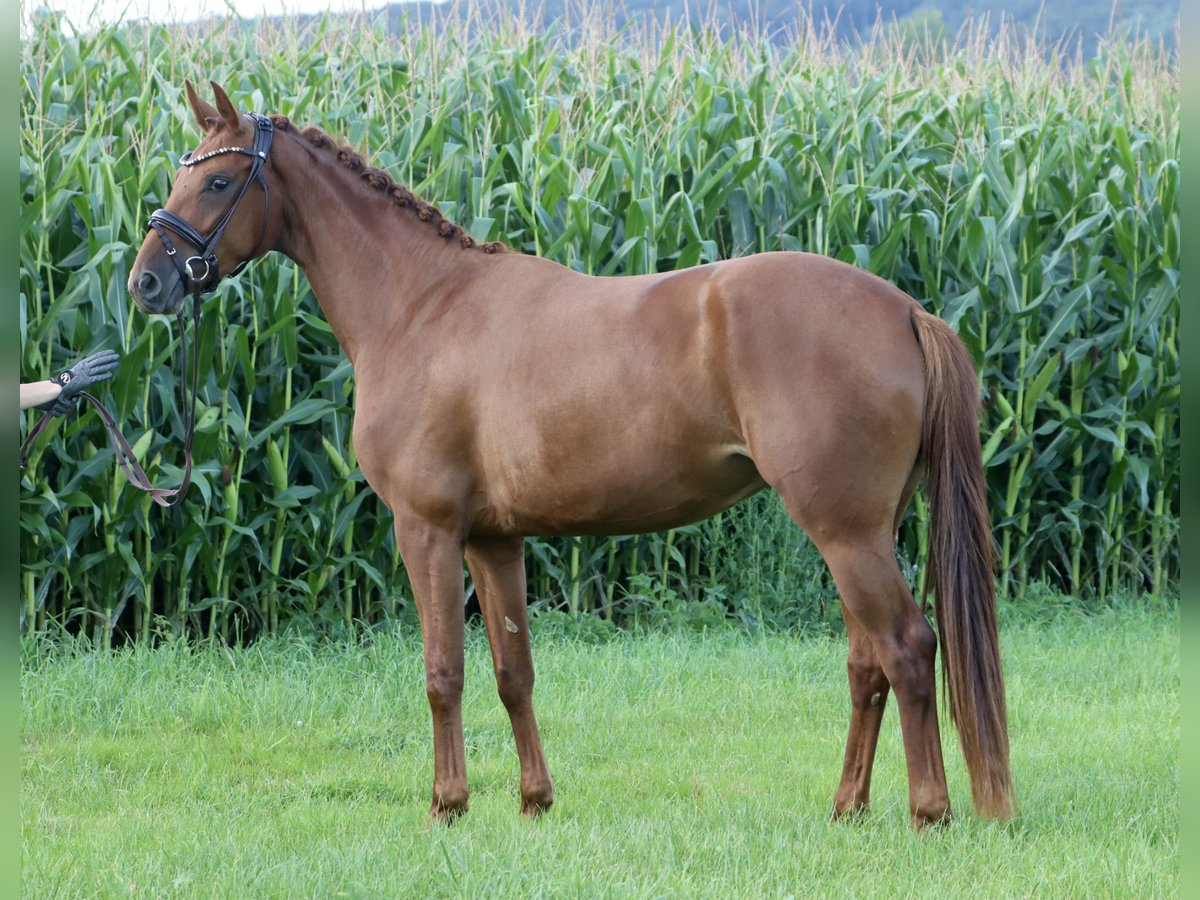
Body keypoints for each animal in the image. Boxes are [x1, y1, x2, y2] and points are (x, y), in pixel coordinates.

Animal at [129, 81, 1012, 830]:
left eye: (218, 182)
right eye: (180, 175)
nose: (146, 284)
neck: (420, 305)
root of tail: (903, 310)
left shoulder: (427, 528)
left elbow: (443, 671)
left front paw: (447, 806)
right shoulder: (494, 539)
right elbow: (512, 671)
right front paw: (533, 801)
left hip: (845, 532)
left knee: (907, 649)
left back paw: (929, 812)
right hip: (860, 533)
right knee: (868, 663)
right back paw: (846, 808)